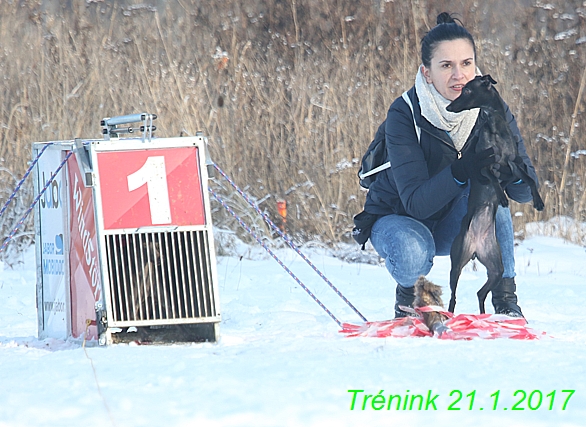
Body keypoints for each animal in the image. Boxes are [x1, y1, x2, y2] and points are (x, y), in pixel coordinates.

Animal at [442, 74, 544, 314]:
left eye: (467, 91)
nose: (449, 107)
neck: (496, 125)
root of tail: (476, 248)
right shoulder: (482, 164)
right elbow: (493, 178)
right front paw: (503, 197)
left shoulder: (513, 164)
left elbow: (529, 179)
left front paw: (538, 202)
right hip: (457, 261)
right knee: (453, 297)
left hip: (497, 268)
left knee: (481, 293)